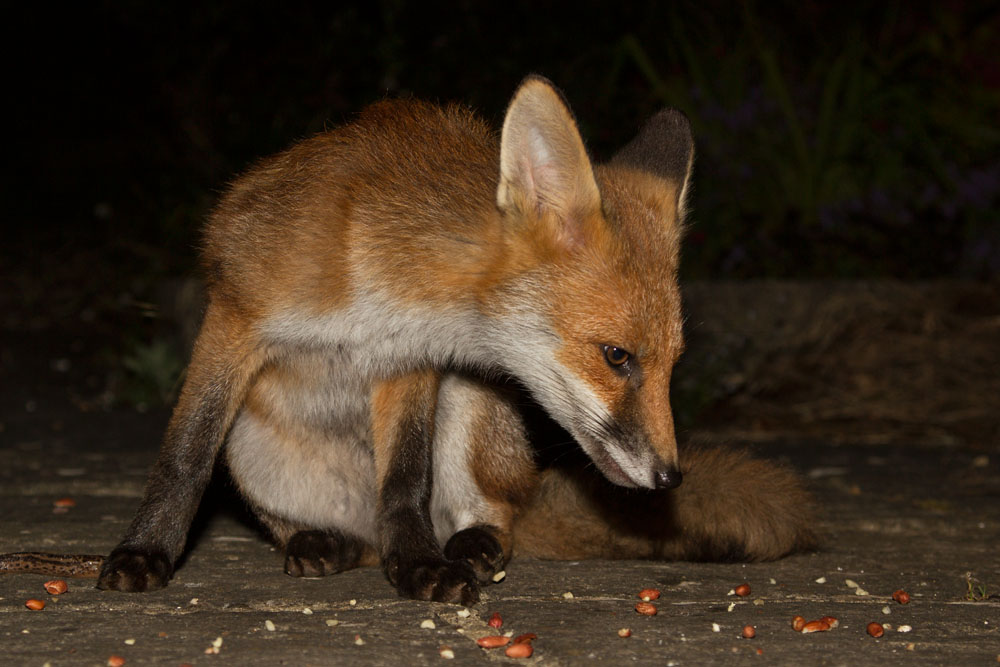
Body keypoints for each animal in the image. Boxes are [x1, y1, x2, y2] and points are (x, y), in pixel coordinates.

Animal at [78, 76, 814, 604]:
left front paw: (417, 568)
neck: (382, 281)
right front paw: (144, 553)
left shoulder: (410, 363)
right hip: (251, 447)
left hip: (471, 407)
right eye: (617, 356)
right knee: (331, 527)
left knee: (487, 511)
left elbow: (404, 481)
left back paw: (465, 546)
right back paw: (324, 543)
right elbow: (183, 458)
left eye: (672, 366)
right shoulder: (235, 315)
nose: (669, 477)